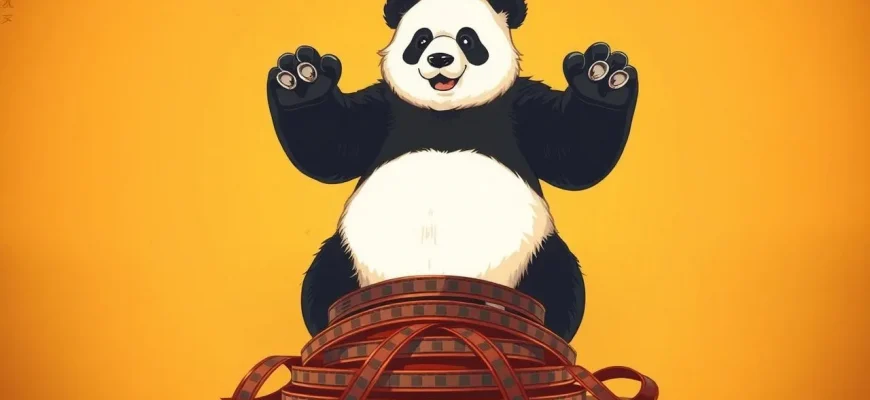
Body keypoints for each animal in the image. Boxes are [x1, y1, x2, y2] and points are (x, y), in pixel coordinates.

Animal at [266, 0, 639, 342]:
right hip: (351, 257)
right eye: (421, 40)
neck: (447, 114)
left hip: (533, 255)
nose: (440, 59)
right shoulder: (386, 108)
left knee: (561, 286)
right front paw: (303, 78)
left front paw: (601, 78)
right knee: (321, 284)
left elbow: (574, 151)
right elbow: (330, 144)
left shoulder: (516, 106)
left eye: (467, 39)